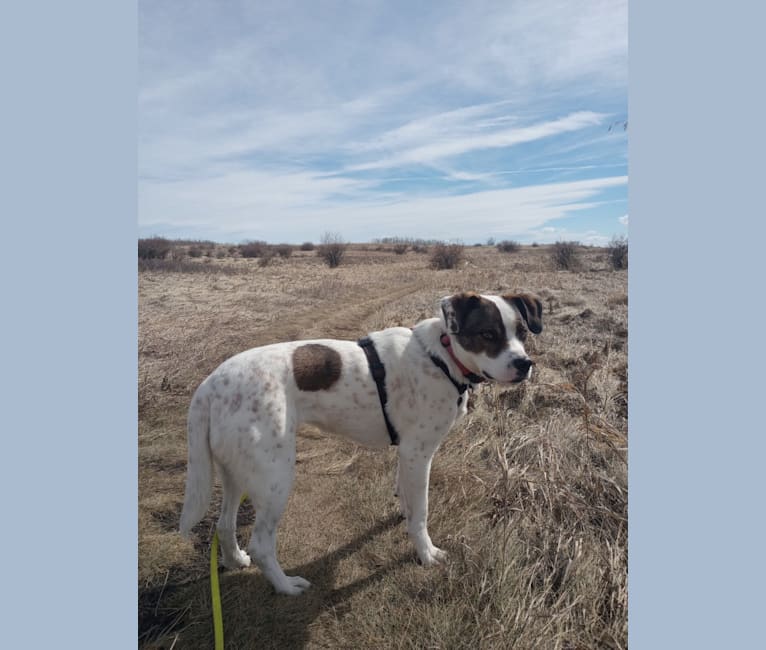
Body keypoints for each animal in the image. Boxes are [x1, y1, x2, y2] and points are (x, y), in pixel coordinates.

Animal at [180, 292, 544, 596]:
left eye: (522, 332)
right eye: (488, 334)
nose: (524, 364)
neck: (441, 356)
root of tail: (210, 385)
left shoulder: (407, 454)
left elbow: (407, 498)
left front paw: (405, 514)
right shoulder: (418, 452)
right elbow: (422, 513)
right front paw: (426, 553)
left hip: (235, 473)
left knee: (224, 524)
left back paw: (235, 560)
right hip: (274, 478)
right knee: (261, 544)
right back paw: (285, 586)